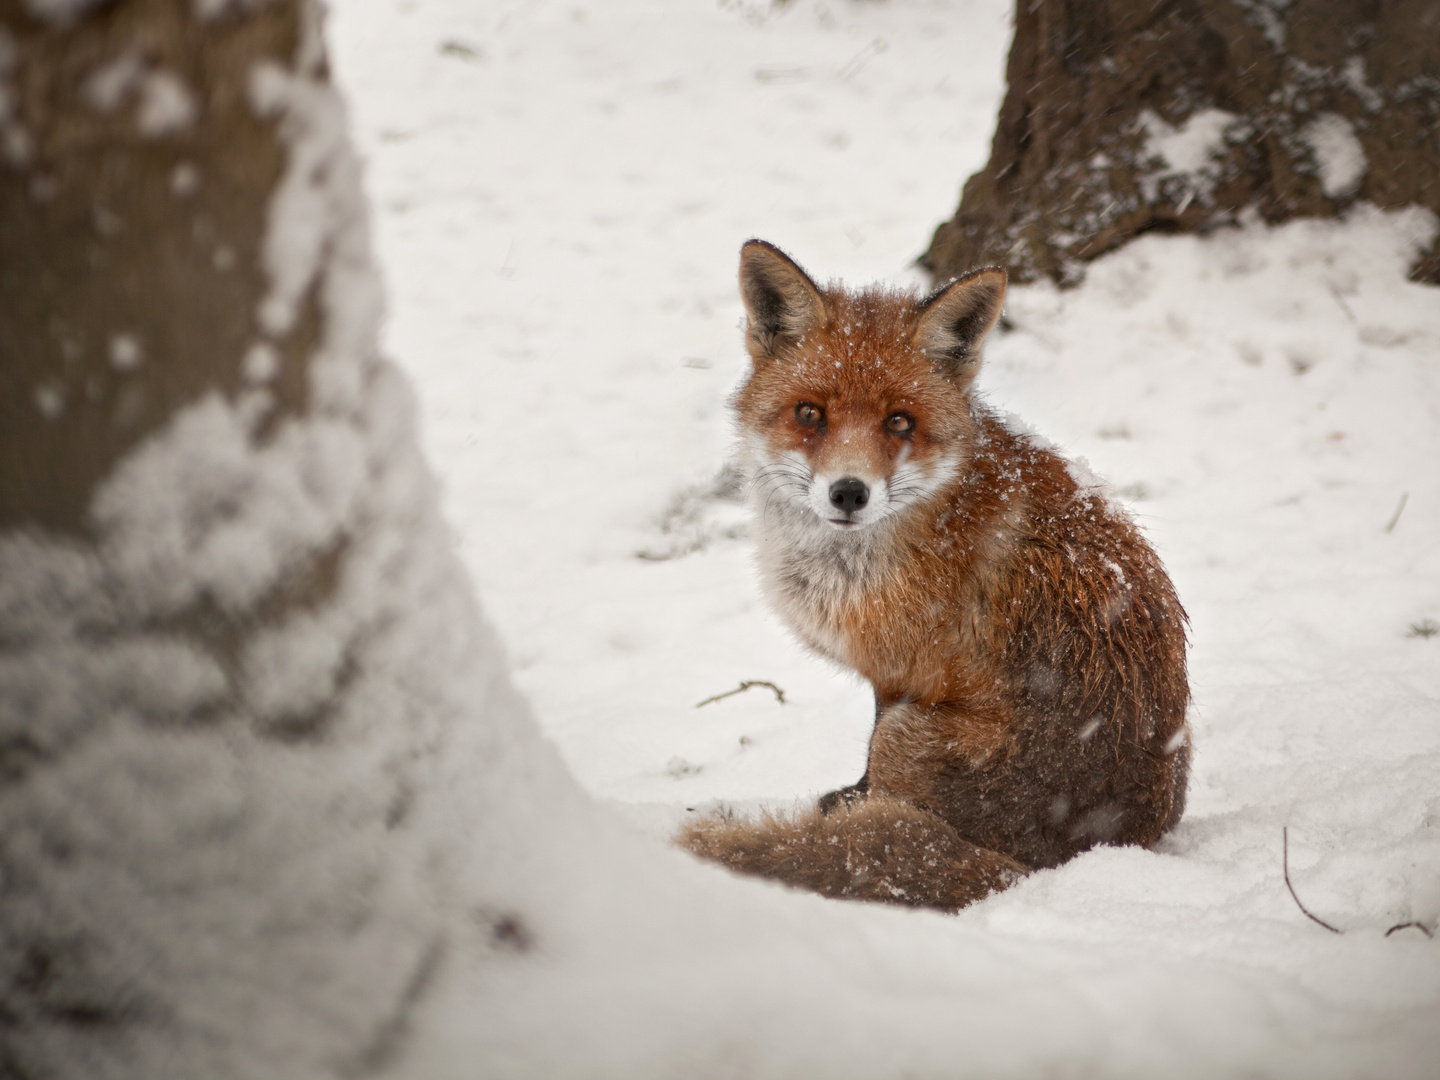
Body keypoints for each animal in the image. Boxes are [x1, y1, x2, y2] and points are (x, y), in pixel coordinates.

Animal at [676, 243, 1192, 915]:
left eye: (899, 422)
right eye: (810, 413)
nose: (849, 492)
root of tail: (1078, 855)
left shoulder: (902, 678)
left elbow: (870, 767)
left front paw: (850, 806)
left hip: (910, 736)